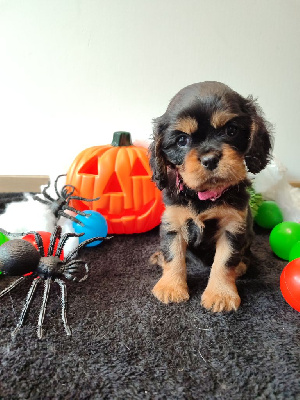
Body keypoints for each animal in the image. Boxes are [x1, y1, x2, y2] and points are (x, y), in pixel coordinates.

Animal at [149, 82, 272, 312]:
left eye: (231, 130)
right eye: (182, 140)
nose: (210, 159)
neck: (203, 197)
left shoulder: (232, 227)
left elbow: (224, 263)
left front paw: (221, 295)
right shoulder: (173, 223)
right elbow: (173, 256)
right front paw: (171, 287)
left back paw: (242, 266)